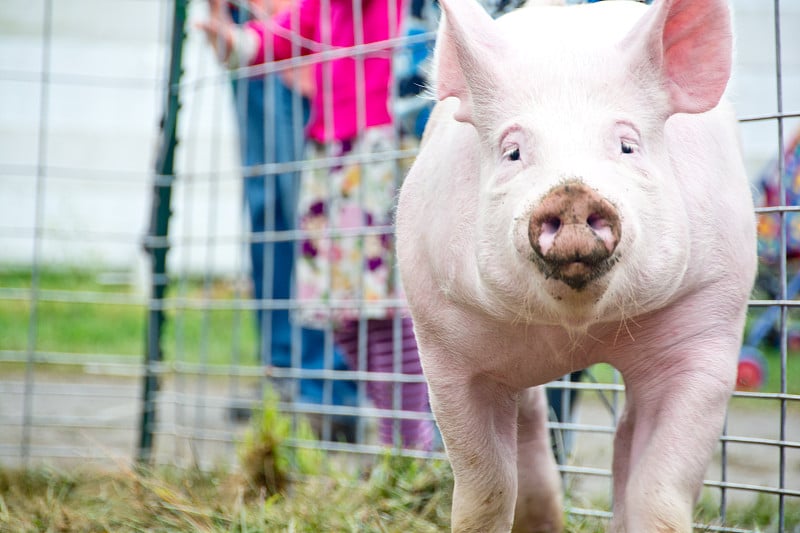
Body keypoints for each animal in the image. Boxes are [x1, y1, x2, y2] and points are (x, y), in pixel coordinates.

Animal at [396, 1, 760, 532]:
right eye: (513, 151)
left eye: (627, 145)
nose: (571, 192)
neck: (576, 330)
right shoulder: (445, 339)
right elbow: (484, 490)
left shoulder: (706, 319)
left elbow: (658, 491)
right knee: (531, 418)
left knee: (622, 434)